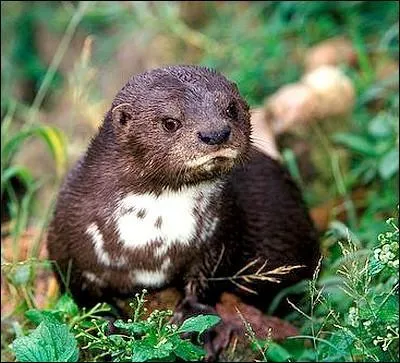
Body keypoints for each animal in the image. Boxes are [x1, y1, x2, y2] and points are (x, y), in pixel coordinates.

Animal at [47, 64, 318, 358]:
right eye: (170, 122)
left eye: (231, 108)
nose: (216, 134)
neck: (152, 233)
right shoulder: (66, 239)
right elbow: (81, 295)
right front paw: (107, 325)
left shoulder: (220, 232)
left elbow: (206, 282)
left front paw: (197, 326)